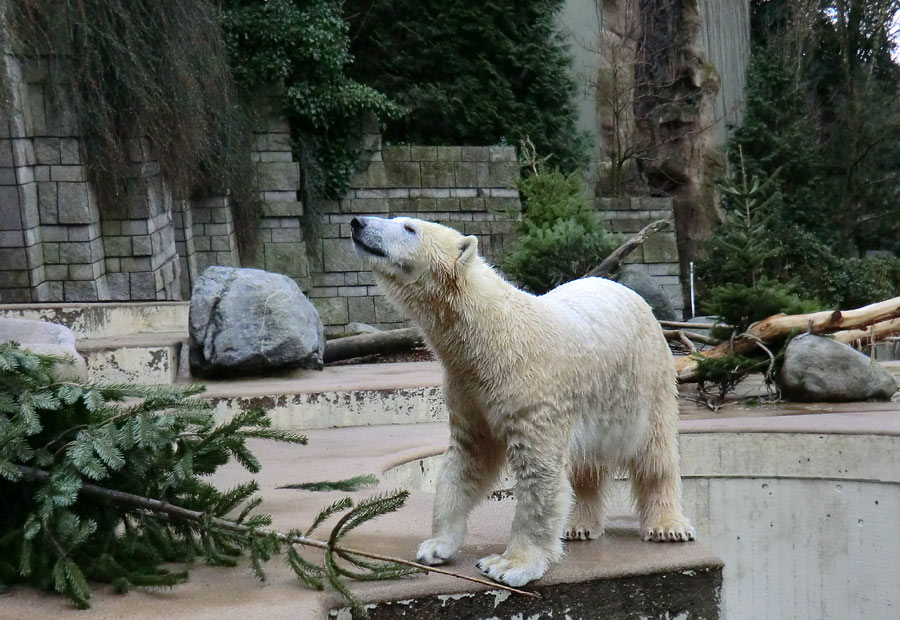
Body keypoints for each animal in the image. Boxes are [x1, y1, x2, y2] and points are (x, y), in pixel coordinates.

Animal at [348, 214, 692, 588]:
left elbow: (539, 473)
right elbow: (467, 461)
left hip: (646, 379)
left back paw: (667, 526)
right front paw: (436, 546)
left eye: (409, 228)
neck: (492, 335)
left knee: (655, 452)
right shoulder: (468, 389)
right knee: (587, 463)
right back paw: (578, 524)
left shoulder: (532, 388)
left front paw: (508, 565)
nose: (358, 222)